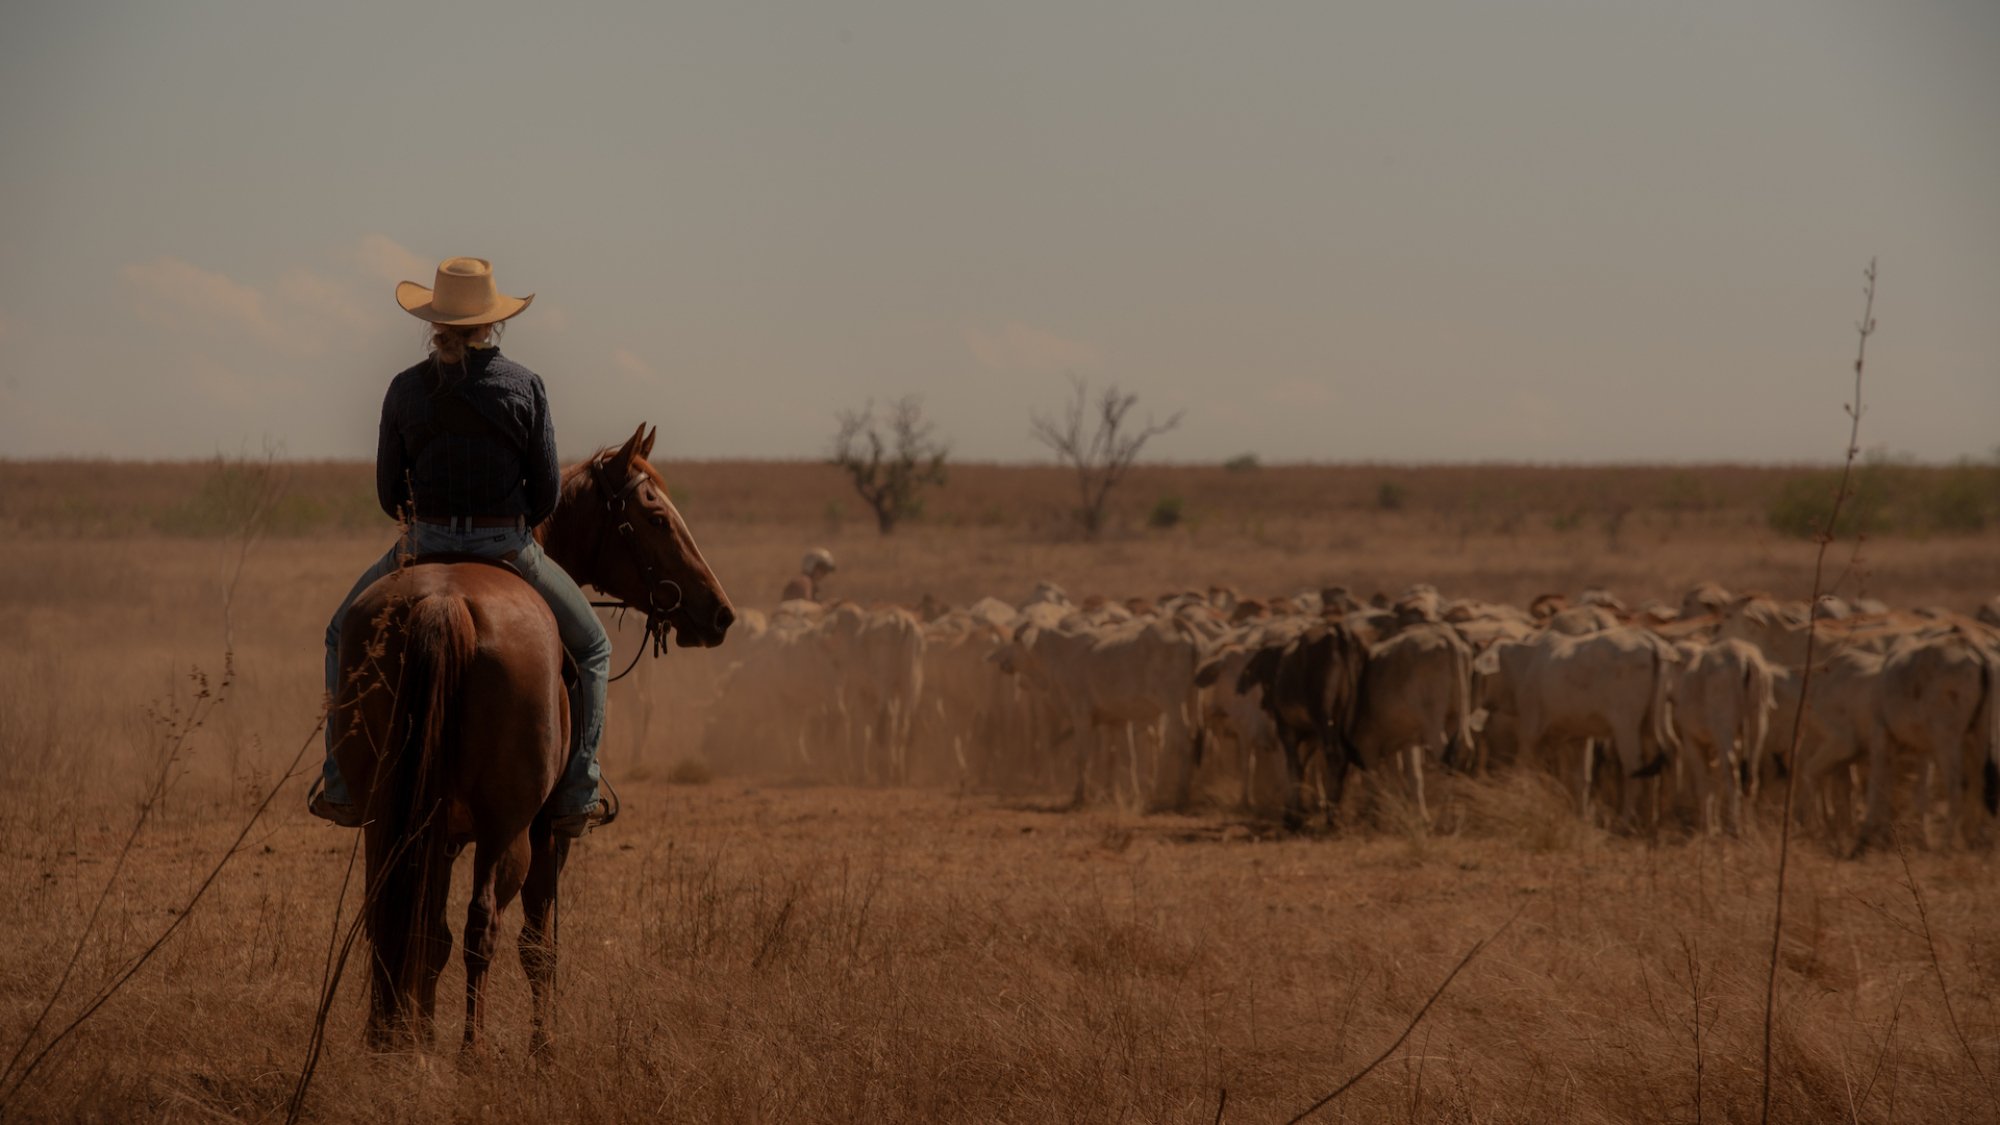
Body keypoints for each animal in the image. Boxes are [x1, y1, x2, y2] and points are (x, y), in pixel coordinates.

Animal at [328, 420, 736, 1048]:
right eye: (655, 518)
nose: (719, 613)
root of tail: (444, 603)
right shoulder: (549, 836)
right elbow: (538, 945)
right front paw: (541, 1049)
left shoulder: (438, 832)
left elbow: (427, 933)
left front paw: (419, 1037)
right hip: (509, 829)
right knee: (484, 926)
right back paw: (470, 1053)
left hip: (385, 814)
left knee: (394, 917)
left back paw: (391, 1044)